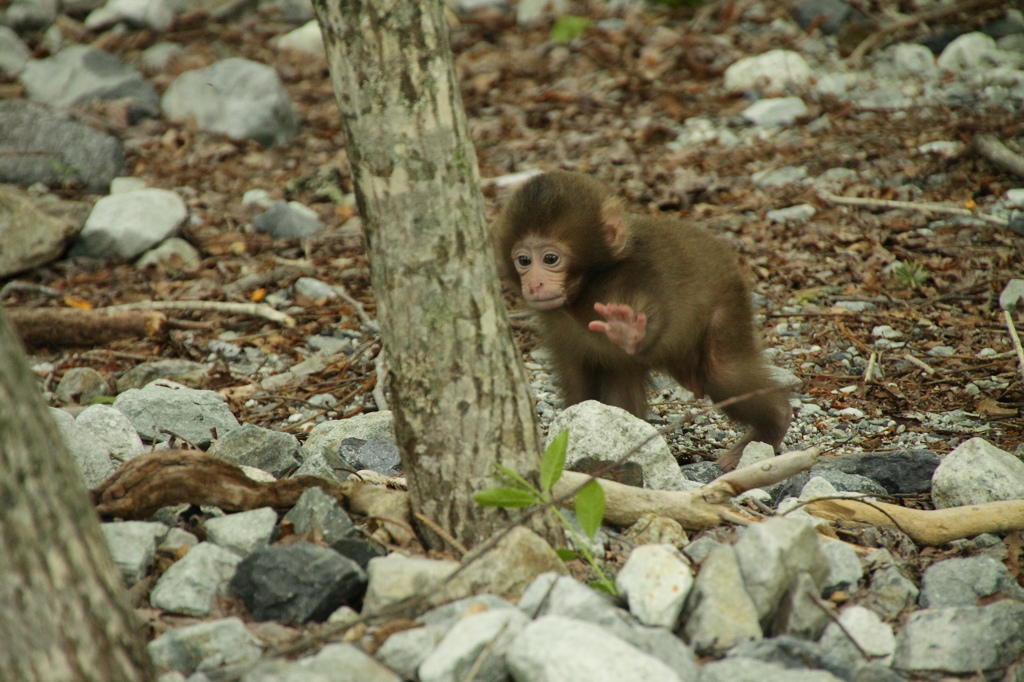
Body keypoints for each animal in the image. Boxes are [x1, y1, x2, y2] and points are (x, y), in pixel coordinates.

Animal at [493, 168, 790, 466]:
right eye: (524, 261)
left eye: (551, 258)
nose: (534, 285)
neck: (587, 286)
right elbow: (577, 376)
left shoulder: (633, 283)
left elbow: (651, 323)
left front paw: (627, 331)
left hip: (727, 302)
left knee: (722, 372)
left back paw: (773, 425)